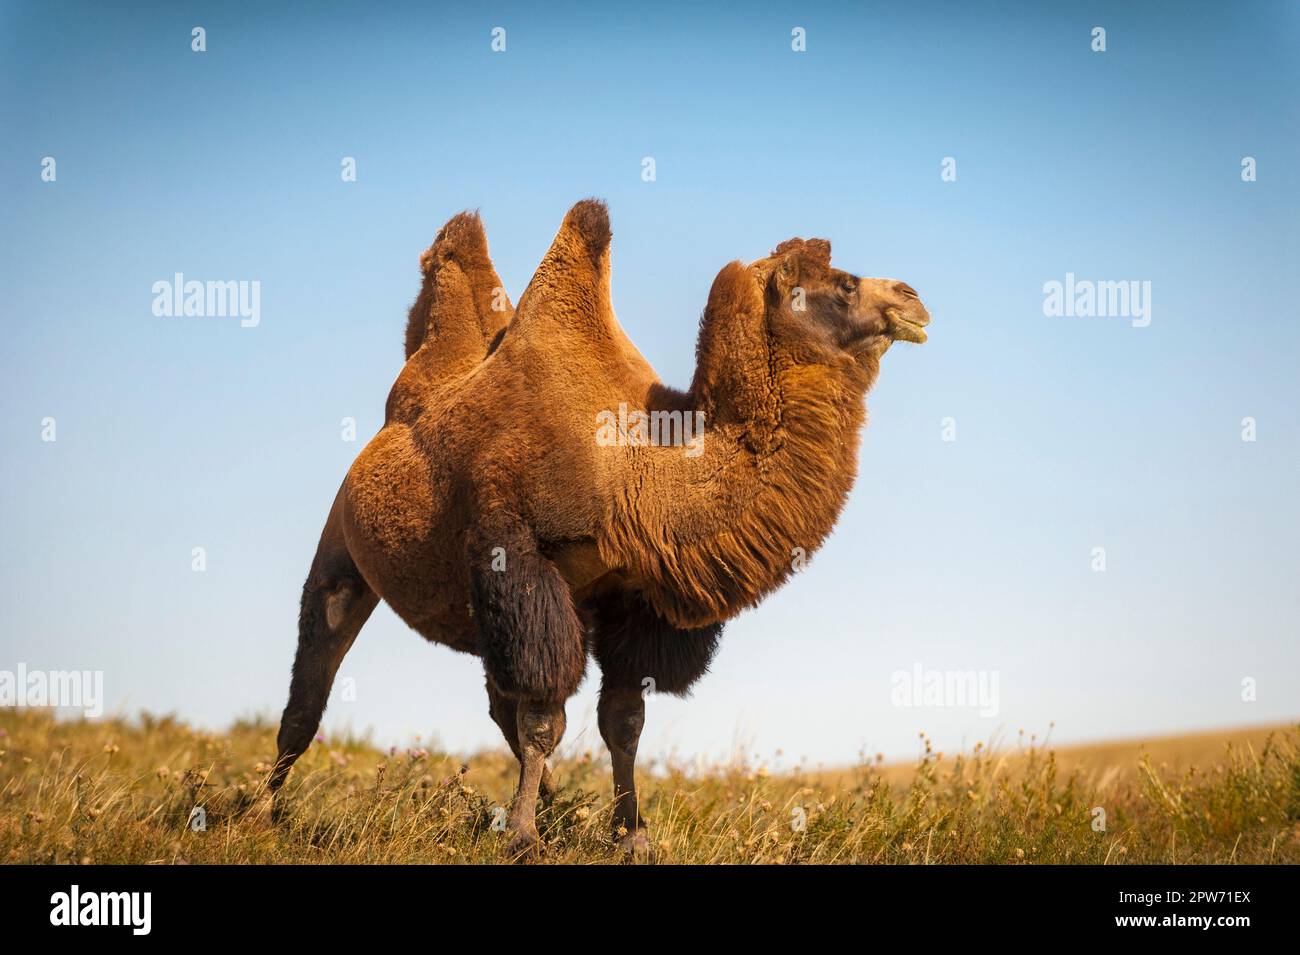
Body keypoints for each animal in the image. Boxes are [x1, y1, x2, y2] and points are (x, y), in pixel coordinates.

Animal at [269, 197, 930, 857]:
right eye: (844, 283)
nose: (913, 298)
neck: (632, 468)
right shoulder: (521, 559)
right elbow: (543, 717)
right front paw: (524, 837)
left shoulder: (630, 598)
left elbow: (623, 721)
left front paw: (630, 836)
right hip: (343, 549)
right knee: (312, 681)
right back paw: (265, 815)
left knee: (495, 704)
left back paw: (554, 803)